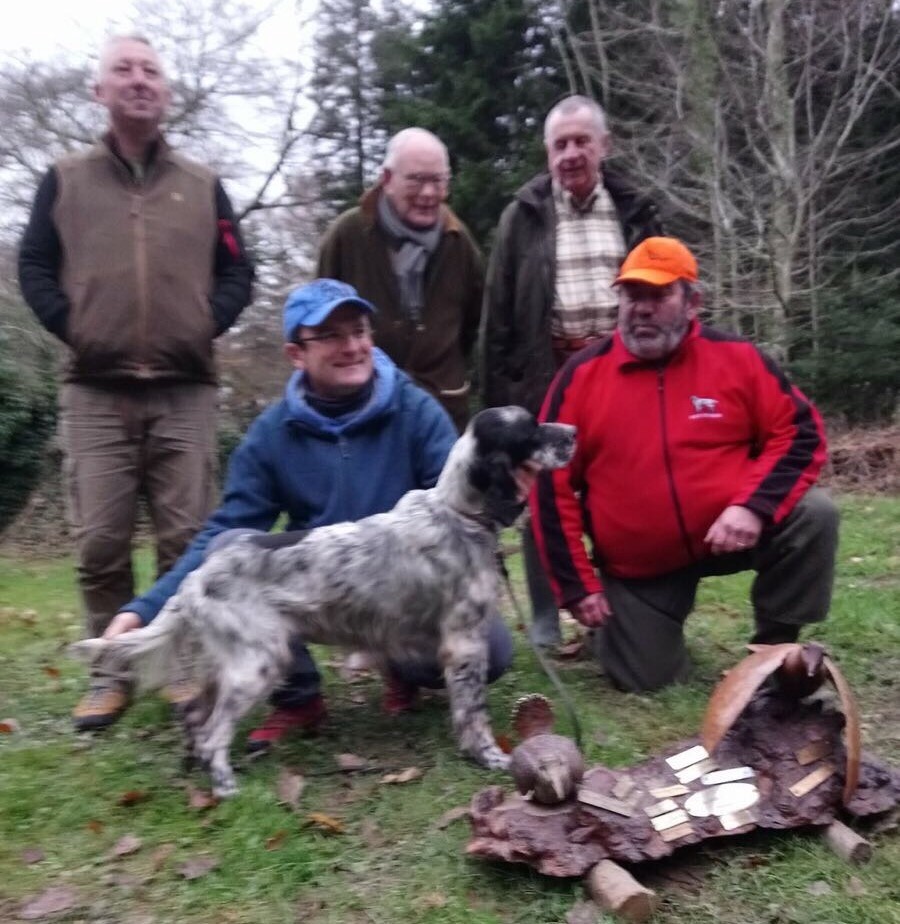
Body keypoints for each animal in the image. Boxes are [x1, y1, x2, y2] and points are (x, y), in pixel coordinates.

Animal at [72, 408, 576, 796]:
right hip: (257, 663)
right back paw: (226, 787)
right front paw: (490, 756)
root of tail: (195, 578)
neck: (458, 513)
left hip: (229, 663)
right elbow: (474, 713)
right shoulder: (464, 643)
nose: (571, 431)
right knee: (214, 732)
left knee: (196, 715)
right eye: (530, 430)